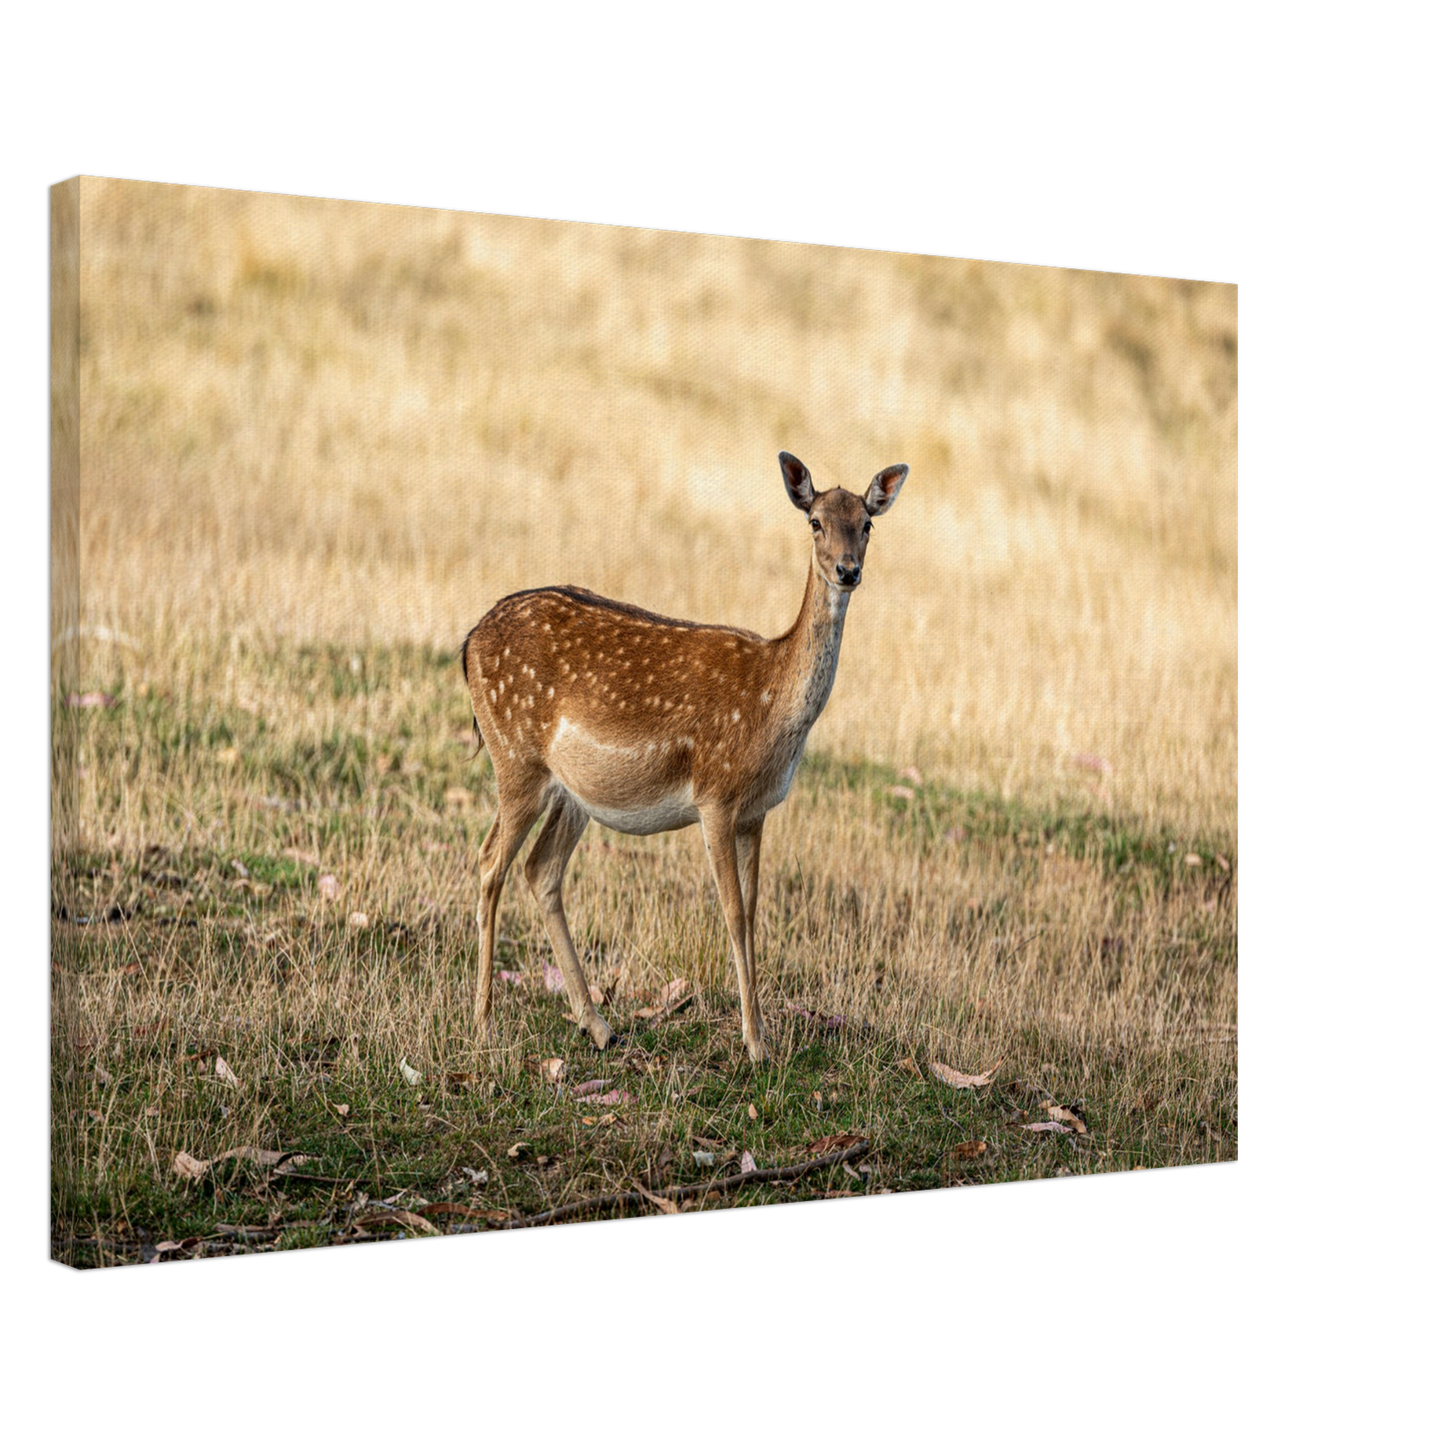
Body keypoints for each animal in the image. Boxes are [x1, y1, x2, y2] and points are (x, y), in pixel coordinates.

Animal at [460, 451, 907, 1063]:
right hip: (515, 758)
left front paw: (760, 1034)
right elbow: (734, 915)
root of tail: (466, 646)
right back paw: (483, 1025)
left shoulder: (757, 811)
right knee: (489, 863)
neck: (772, 707)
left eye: (866, 524)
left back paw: (599, 1026)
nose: (847, 570)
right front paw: (756, 1045)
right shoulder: (715, 794)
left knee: (541, 868)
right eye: (815, 521)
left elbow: (755, 912)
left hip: (572, 790)